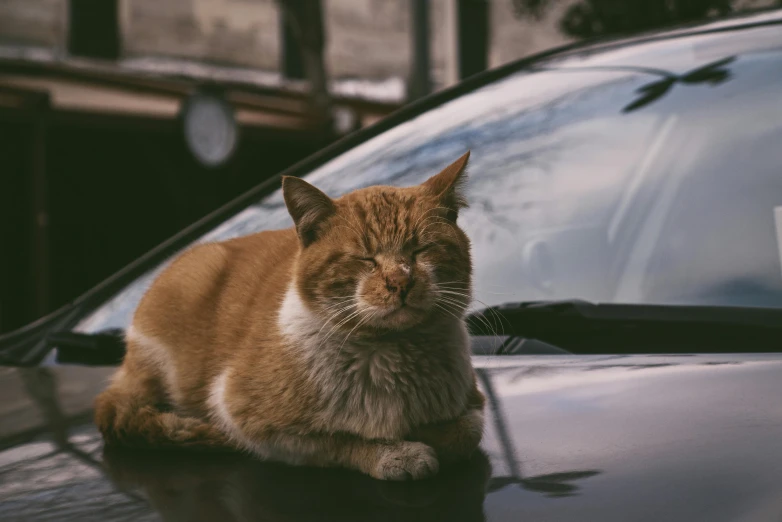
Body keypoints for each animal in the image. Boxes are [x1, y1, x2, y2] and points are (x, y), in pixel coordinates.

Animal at [95, 148, 486, 478]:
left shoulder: (474, 401)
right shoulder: (245, 416)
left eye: (421, 250)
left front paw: (431, 434)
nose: (400, 282)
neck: (392, 353)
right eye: (365, 258)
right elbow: (340, 441)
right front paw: (398, 452)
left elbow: (468, 430)